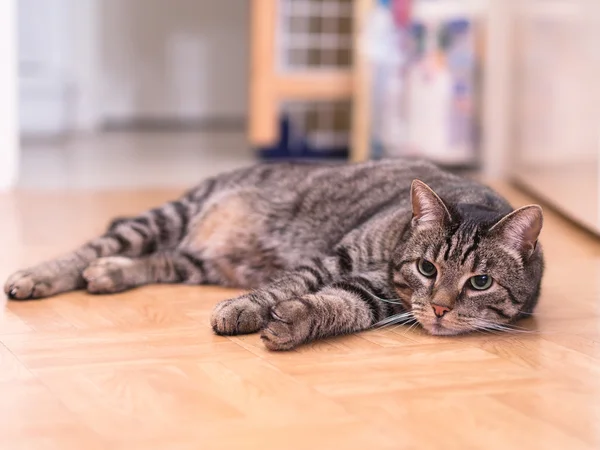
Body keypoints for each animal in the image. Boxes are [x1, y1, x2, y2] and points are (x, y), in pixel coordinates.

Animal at [3, 159, 544, 352]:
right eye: (427, 268)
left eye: (479, 282)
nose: (439, 309)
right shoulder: (337, 258)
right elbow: (285, 285)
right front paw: (246, 308)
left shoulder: (377, 294)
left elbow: (340, 305)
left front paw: (295, 322)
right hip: (167, 217)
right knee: (94, 247)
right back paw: (36, 276)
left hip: (198, 262)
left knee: (157, 260)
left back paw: (111, 274)